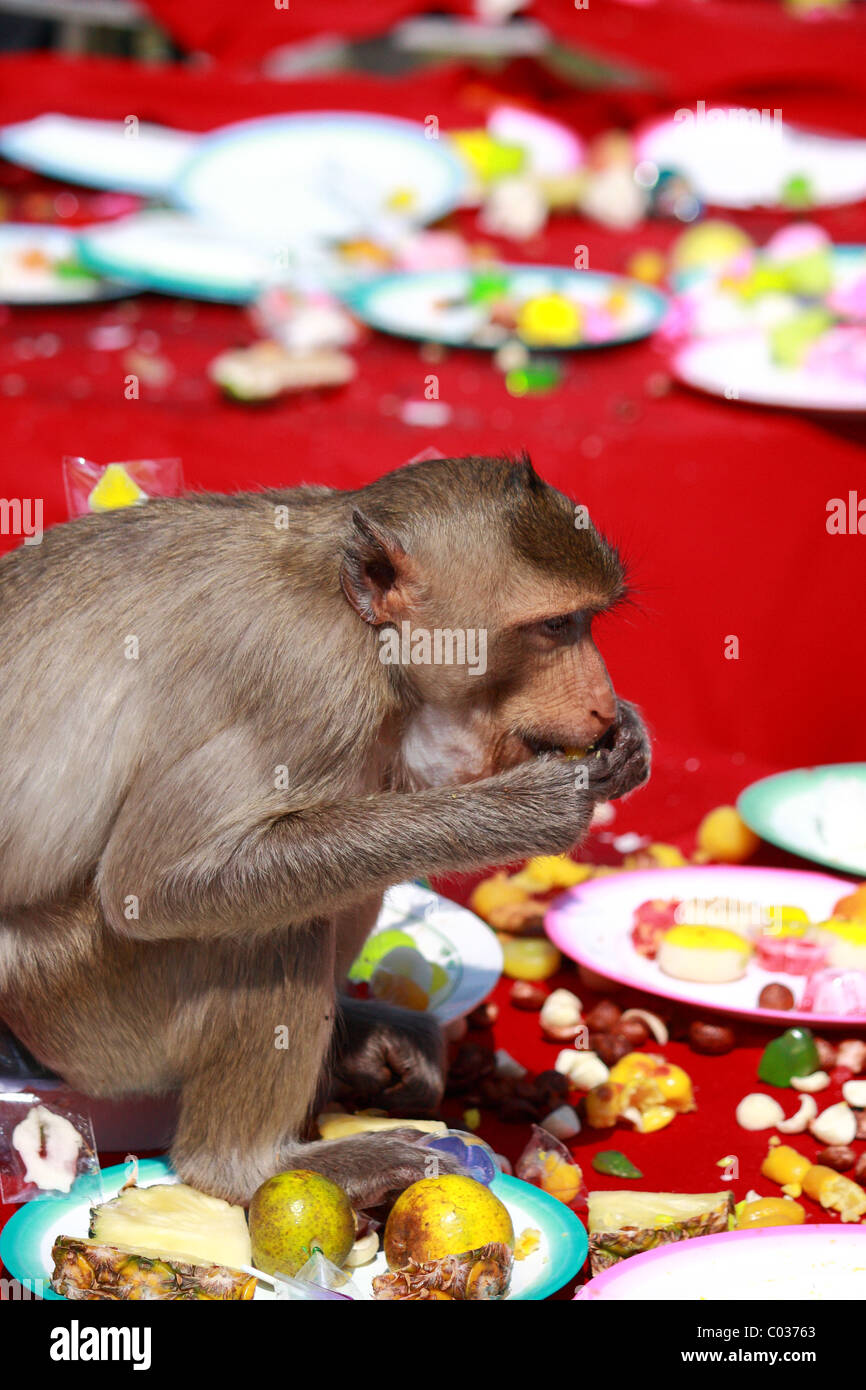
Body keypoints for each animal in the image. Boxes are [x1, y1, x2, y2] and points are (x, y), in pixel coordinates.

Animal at [0, 455, 650, 1206]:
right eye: (555, 625)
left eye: (587, 621)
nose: (600, 703)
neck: (354, 616)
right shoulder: (305, 681)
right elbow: (154, 882)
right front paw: (528, 810)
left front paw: (630, 741)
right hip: (83, 1013)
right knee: (269, 931)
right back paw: (250, 1165)